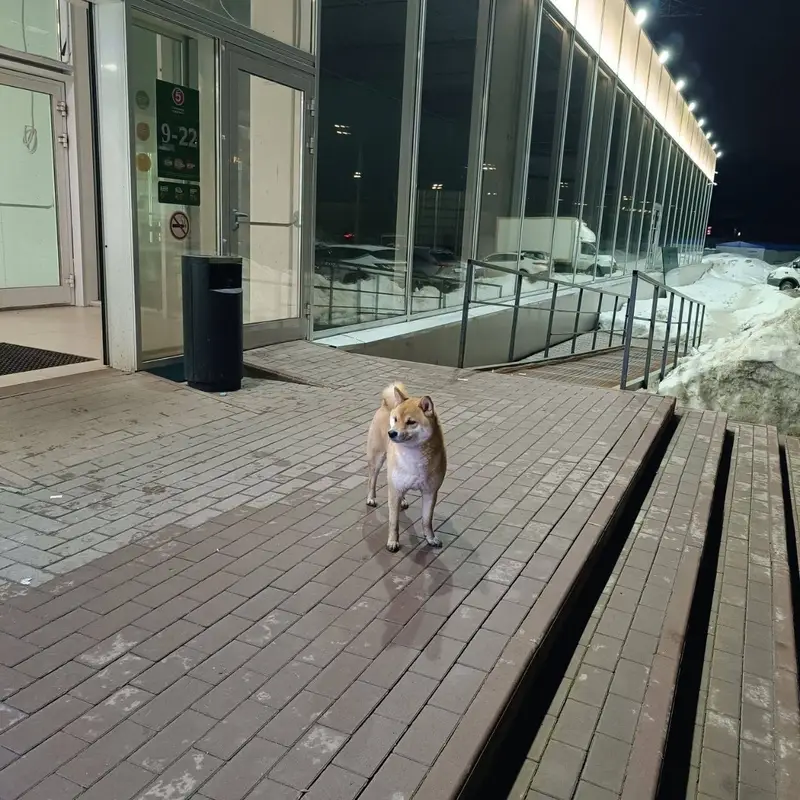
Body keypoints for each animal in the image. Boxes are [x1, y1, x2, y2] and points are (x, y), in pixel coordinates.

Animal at [366, 382, 447, 552]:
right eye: (395, 419)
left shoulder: (430, 492)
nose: (391, 433)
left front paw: (430, 538)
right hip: (377, 459)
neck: (413, 455)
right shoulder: (394, 489)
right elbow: (394, 522)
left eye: (411, 422)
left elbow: (427, 520)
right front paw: (392, 542)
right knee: (372, 480)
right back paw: (371, 498)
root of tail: (386, 405)